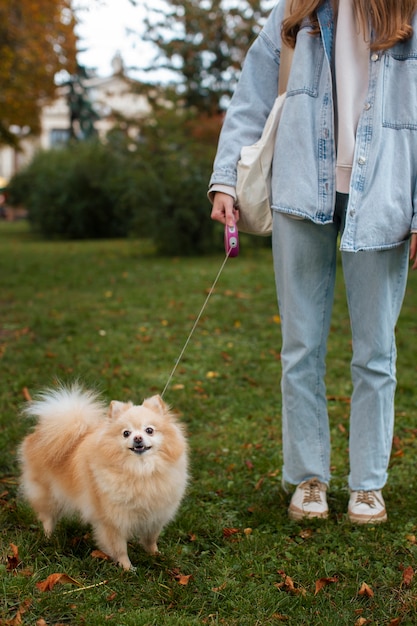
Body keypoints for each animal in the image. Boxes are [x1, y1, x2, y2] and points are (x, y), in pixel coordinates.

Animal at [18, 382, 188, 568]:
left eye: (149, 430)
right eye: (126, 433)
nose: (137, 438)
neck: (140, 471)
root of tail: (41, 431)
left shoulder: (155, 515)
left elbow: (150, 539)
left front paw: (156, 556)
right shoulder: (112, 520)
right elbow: (119, 548)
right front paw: (127, 568)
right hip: (47, 493)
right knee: (47, 517)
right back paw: (49, 537)